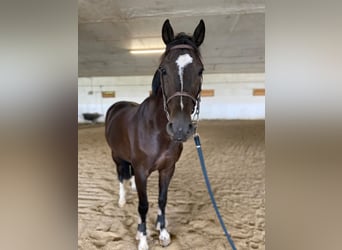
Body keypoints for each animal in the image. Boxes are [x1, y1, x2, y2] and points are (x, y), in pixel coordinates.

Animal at [104, 19, 204, 250]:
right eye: (163, 70)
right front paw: (142, 238)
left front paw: (163, 232)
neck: (157, 130)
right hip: (116, 156)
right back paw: (122, 200)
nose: (180, 128)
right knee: (120, 175)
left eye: (200, 70)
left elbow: (161, 200)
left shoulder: (168, 169)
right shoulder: (142, 171)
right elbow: (143, 205)